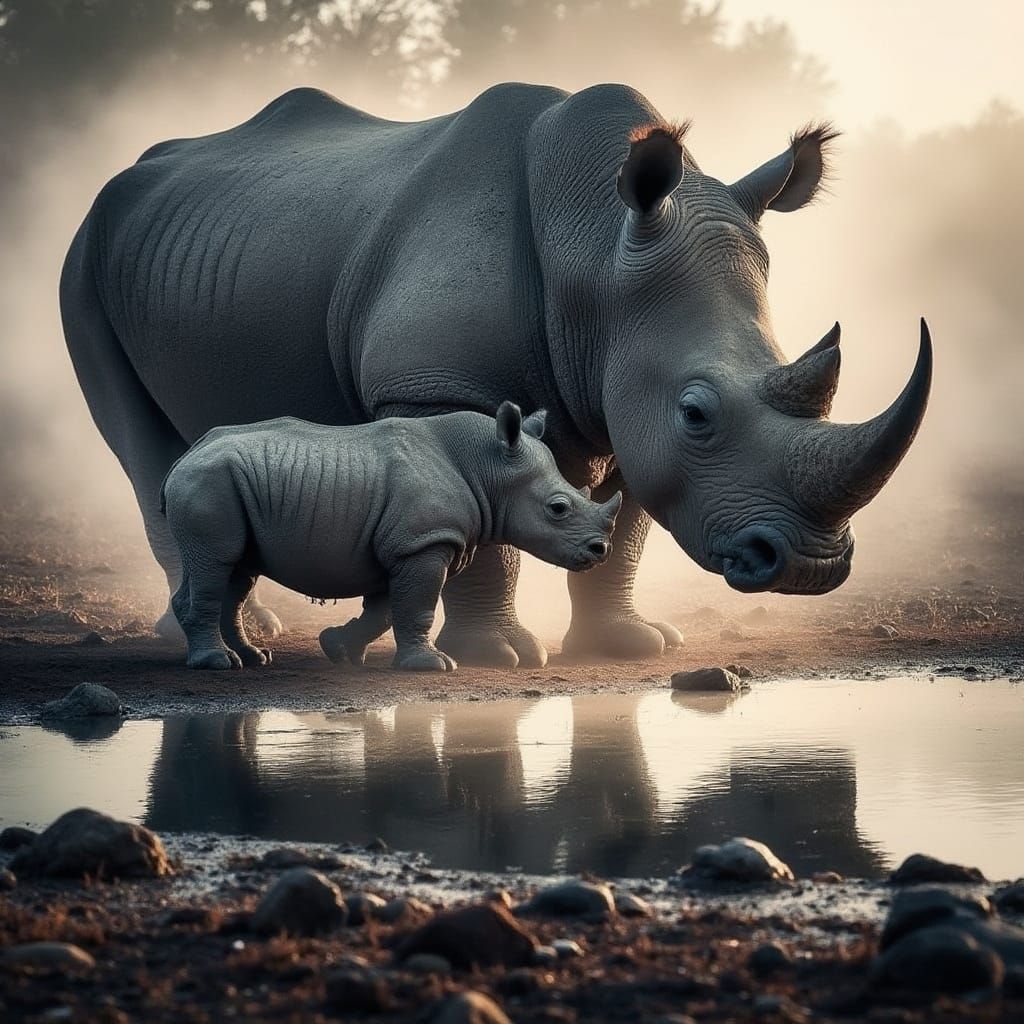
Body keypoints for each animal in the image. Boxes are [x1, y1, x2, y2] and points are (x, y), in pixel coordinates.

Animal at [160, 403, 620, 671]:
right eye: (558, 508)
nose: (601, 550)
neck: (488, 466)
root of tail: (183, 458)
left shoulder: (403, 545)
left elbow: (383, 611)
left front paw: (338, 648)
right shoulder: (422, 543)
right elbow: (417, 607)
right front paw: (433, 666)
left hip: (223, 483)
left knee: (237, 571)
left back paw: (253, 658)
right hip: (208, 483)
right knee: (217, 562)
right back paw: (218, 663)